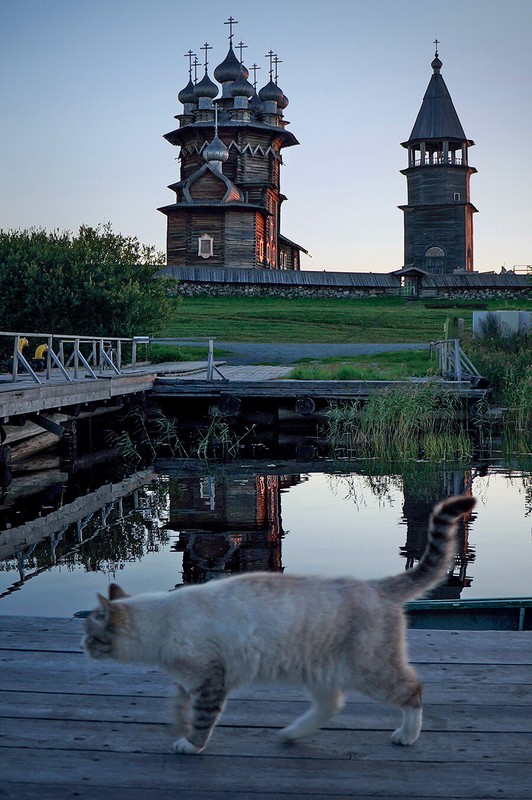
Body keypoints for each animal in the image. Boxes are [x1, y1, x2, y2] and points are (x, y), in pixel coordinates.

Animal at [82, 494, 474, 756]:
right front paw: (178, 724)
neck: (161, 623)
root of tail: (374, 585)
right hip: (320, 670)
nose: (82, 647)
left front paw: (190, 744)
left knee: (412, 691)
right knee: (332, 705)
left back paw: (406, 736)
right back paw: (292, 734)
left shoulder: (211, 679)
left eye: (91, 636)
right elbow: (177, 703)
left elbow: (203, 719)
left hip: (369, 670)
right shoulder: (191, 678)